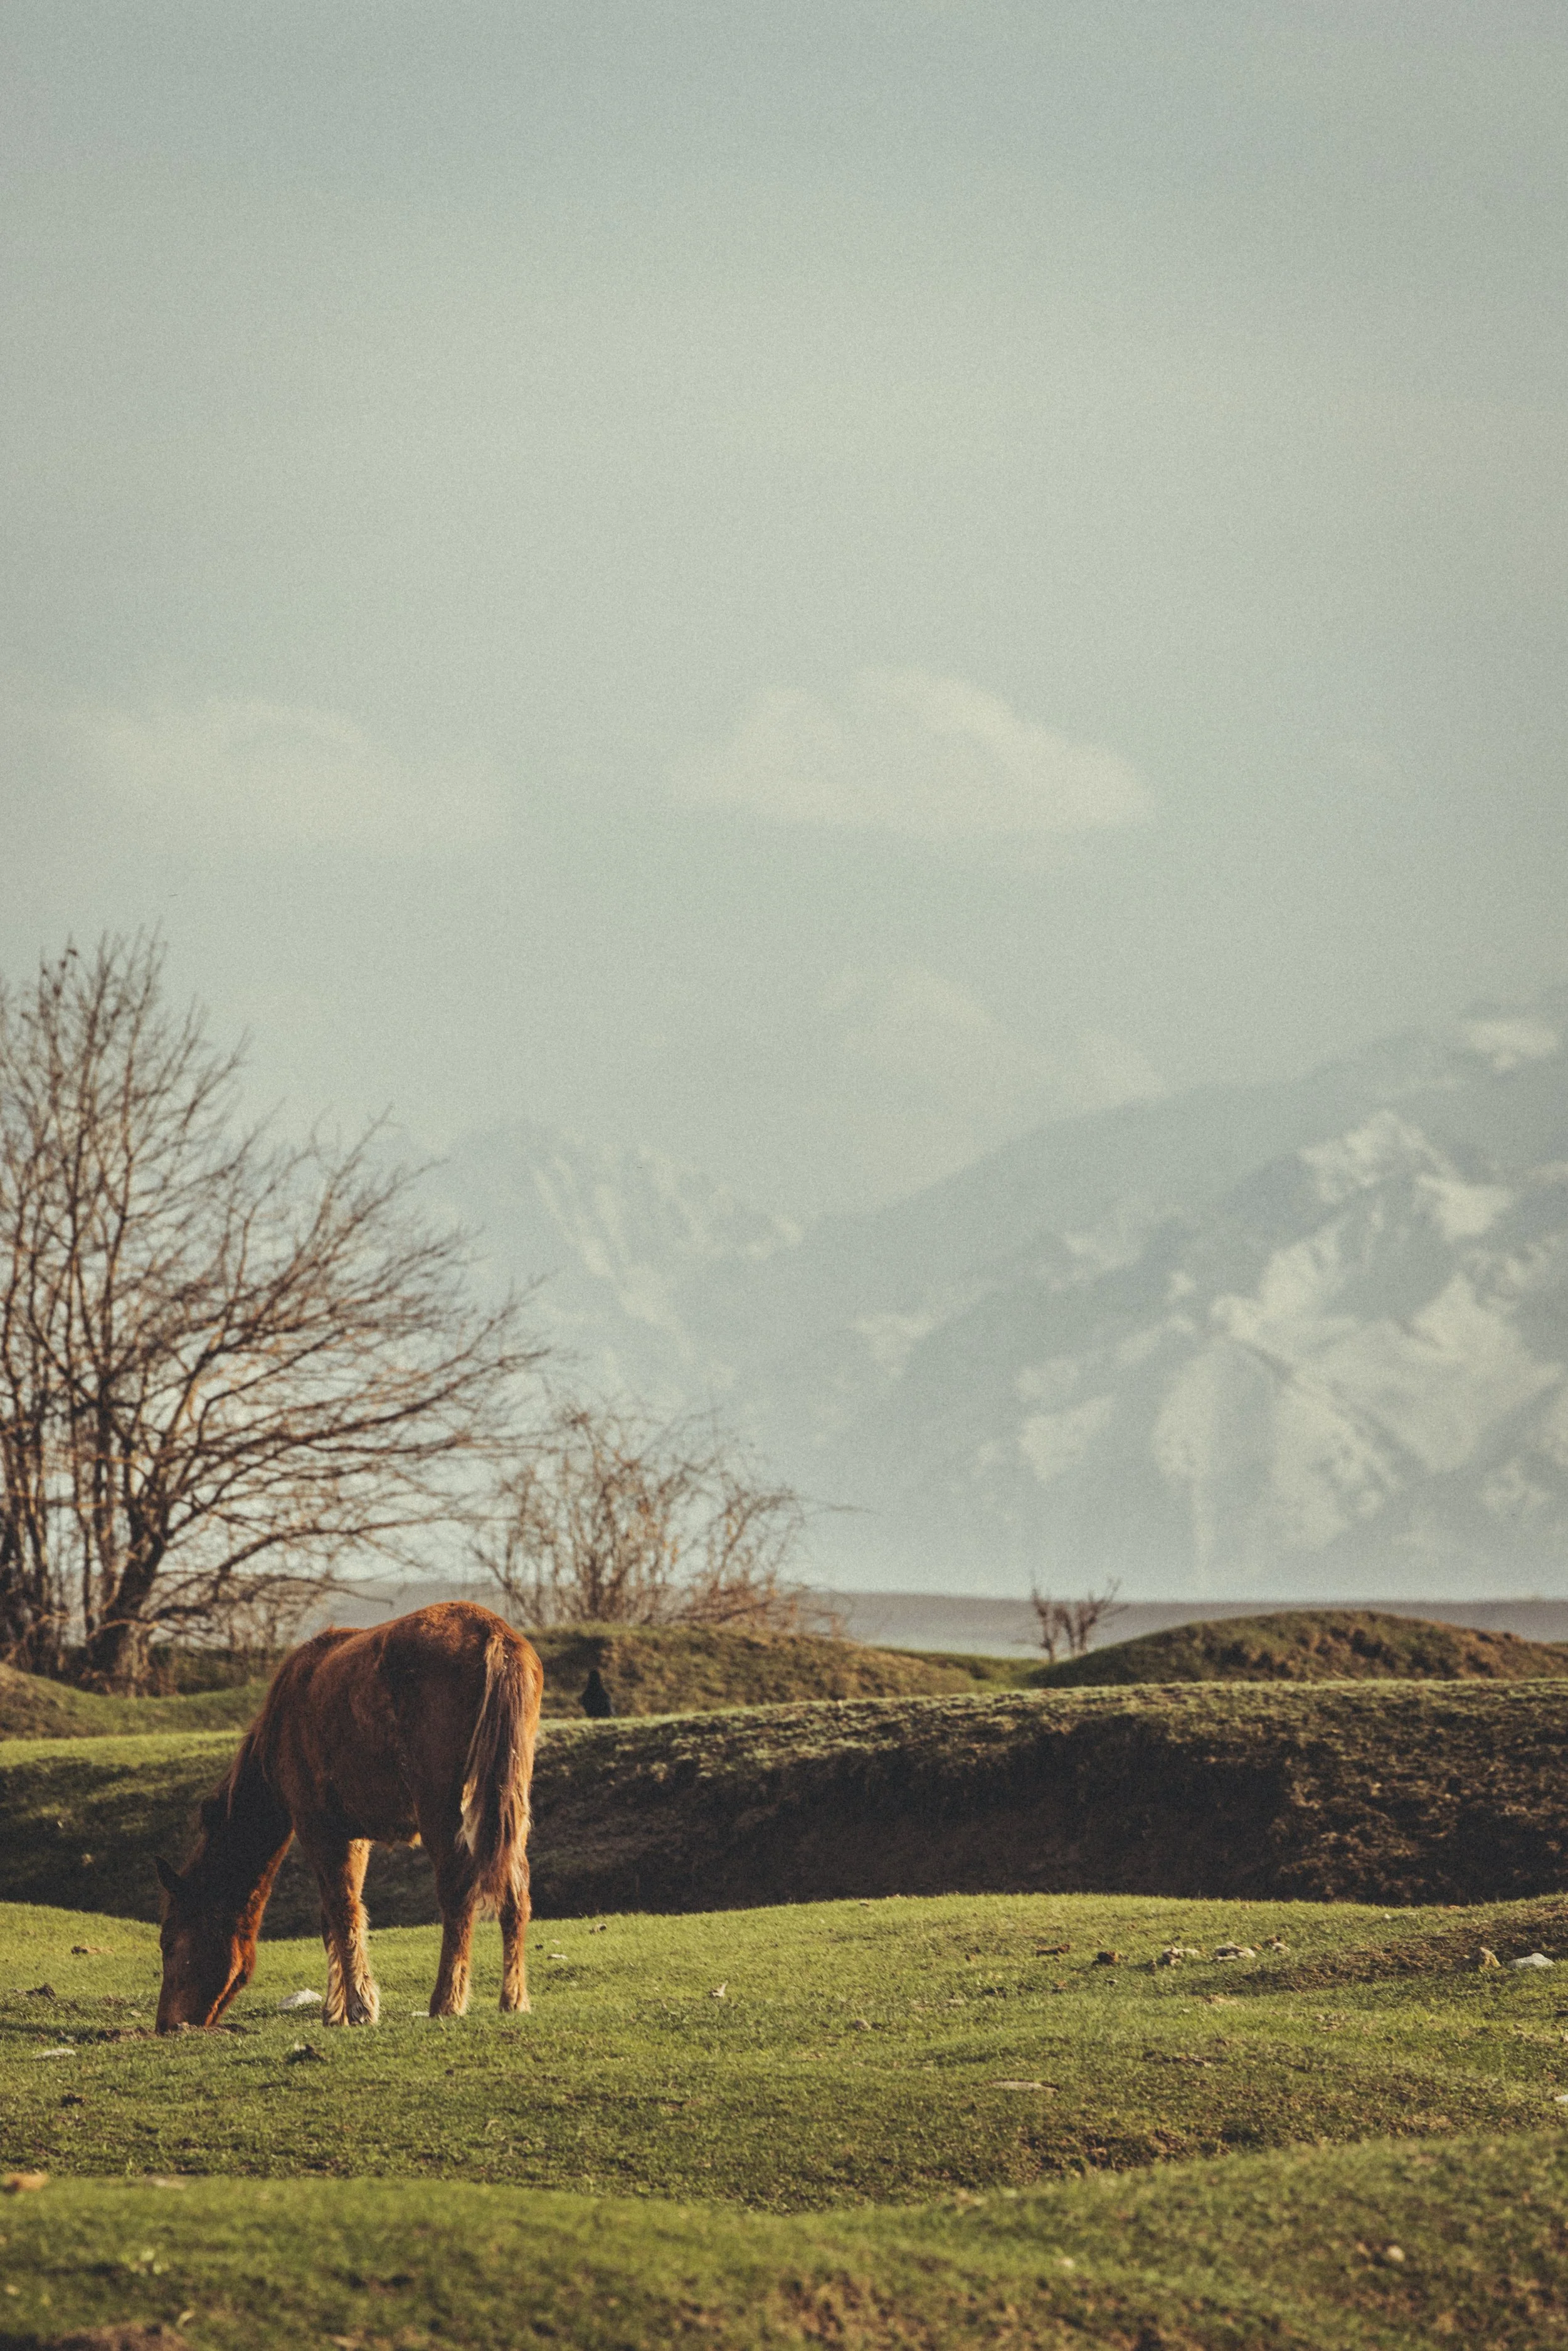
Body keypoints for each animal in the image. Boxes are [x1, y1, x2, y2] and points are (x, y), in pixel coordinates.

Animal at [154, 1602, 543, 2033]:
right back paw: (514, 1999)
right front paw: (338, 2007)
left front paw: (357, 2006)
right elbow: (338, 1915)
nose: (166, 2025)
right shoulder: (353, 1834)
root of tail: (496, 1635)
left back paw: (446, 2001)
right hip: (510, 1800)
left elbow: (341, 1910)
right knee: (516, 1890)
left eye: (169, 1943)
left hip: (440, 1807)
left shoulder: (316, 1825)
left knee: (457, 1891)